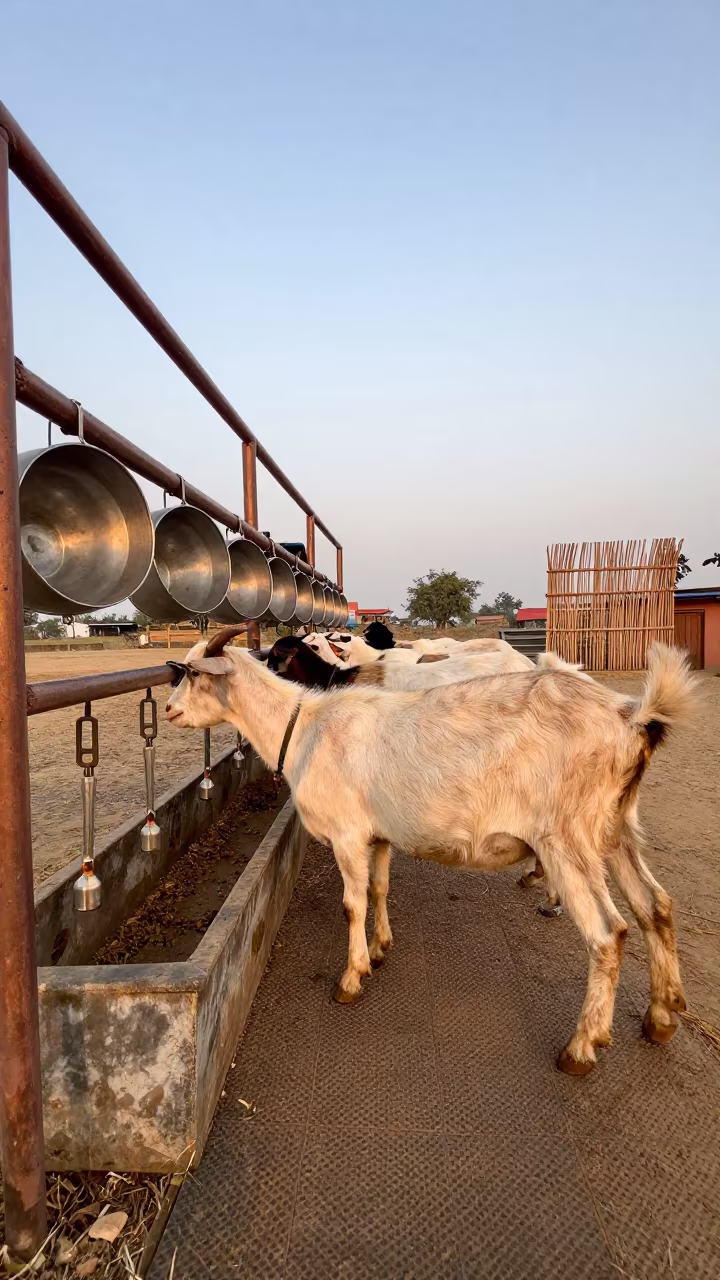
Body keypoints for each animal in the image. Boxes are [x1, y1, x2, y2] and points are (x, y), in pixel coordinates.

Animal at [166, 626, 697, 1075]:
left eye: (193, 673)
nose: (169, 711)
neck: (305, 727)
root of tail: (634, 718)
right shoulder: (377, 836)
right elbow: (379, 889)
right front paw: (381, 948)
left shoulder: (347, 834)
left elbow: (351, 904)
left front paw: (351, 977)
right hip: (616, 828)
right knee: (655, 907)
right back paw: (661, 1016)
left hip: (568, 838)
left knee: (608, 934)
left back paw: (581, 1047)